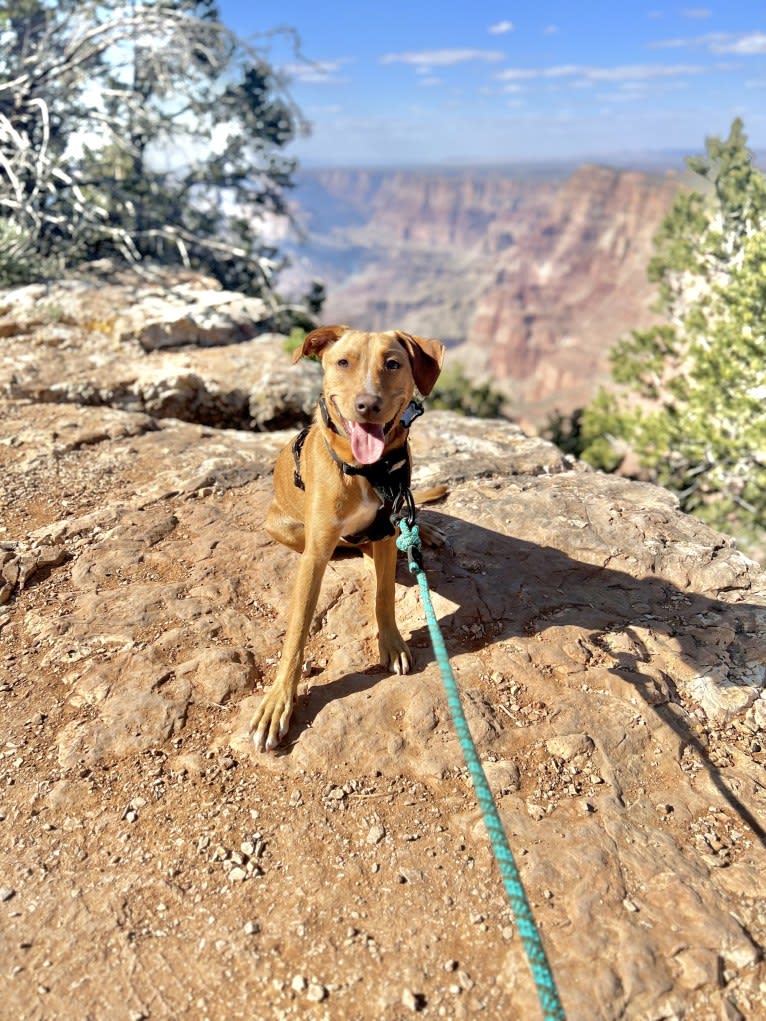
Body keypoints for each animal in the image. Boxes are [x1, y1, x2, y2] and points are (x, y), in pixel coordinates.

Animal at [252, 326, 443, 751]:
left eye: (393, 363)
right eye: (343, 362)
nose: (367, 404)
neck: (365, 470)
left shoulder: (388, 531)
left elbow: (384, 596)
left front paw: (392, 643)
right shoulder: (315, 555)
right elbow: (296, 634)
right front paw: (278, 702)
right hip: (283, 526)